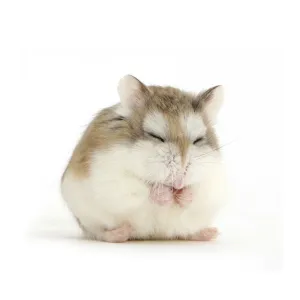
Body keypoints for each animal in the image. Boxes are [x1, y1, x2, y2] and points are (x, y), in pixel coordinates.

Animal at [62, 75, 229, 241]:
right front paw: (165, 195)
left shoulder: (213, 183)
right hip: (87, 218)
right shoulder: (112, 178)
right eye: (156, 136)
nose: (179, 182)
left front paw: (182, 195)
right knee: (99, 232)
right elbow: (144, 190)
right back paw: (121, 233)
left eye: (198, 140)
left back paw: (209, 233)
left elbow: (196, 193)